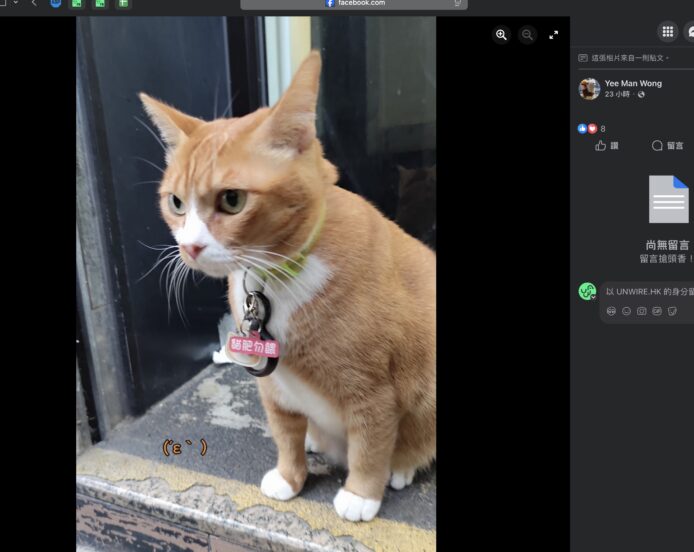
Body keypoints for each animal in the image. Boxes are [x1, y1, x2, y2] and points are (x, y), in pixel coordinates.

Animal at [139, 50, 436, 522]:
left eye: (232, 200)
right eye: (177, 203)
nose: (189, 246)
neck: (275, 278)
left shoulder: (375, 391)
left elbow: (370, 444)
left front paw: (361, 494)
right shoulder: (273, 386)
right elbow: (285, 433)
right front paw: (290, 476)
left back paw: (402, 467)